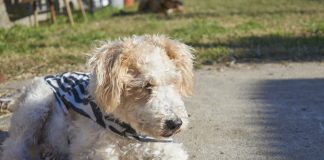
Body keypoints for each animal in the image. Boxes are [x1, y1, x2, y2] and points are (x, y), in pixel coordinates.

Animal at [1, 34, 194, 159]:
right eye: (146, 85)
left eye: (174, 82)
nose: (175, 123)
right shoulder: (94, 152)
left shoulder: (163, 148)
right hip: (35, 107)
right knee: (13, 146)